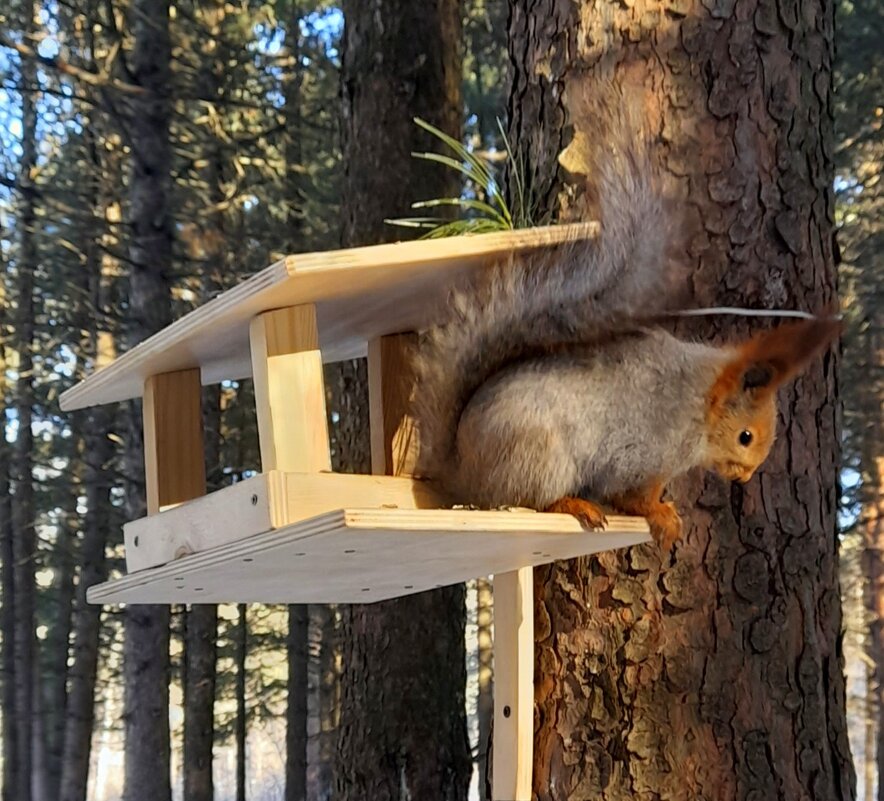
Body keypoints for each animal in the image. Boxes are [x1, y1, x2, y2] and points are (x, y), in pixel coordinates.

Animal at [410, 87, 840, 552]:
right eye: (746, 436)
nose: (745, 476)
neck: (700, 401)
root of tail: (463, 473)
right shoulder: (643, 449)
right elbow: (633, 494)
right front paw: (661, 515)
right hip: (538, 456)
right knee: (530, 500)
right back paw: (574, 504)